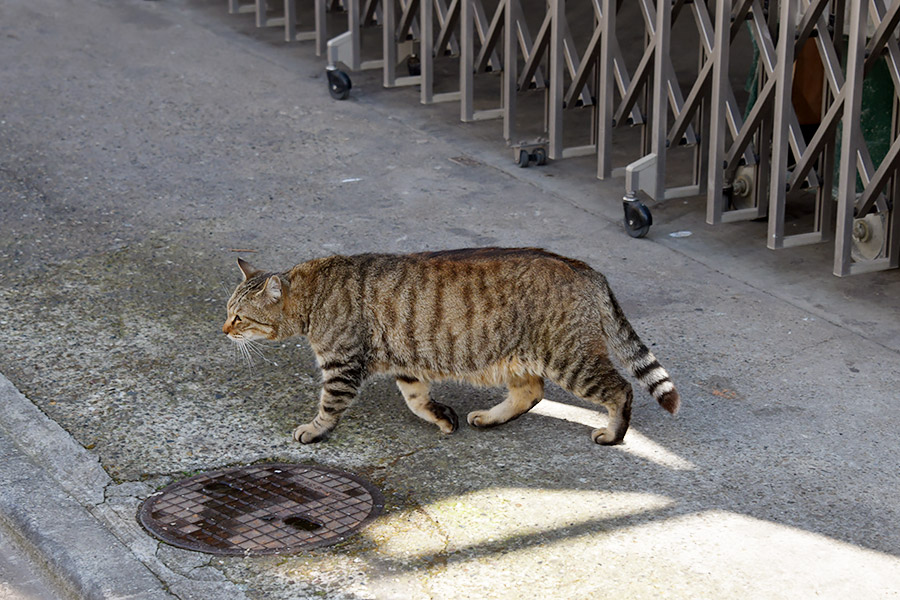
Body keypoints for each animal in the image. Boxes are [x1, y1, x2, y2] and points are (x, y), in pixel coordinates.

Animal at [221, 247, 680, 446]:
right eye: (228, 311)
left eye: (240, 317)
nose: (224, 329)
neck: (314, 294)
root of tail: (586, 268)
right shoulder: (406, 363)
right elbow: (416, 400)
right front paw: (441, 418)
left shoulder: (342, 366)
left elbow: (329, 406)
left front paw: (314, 430)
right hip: (517, 357)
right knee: (530, 393)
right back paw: (490, 418)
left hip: (571, 359)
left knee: (620, 389)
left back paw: (613, 433)